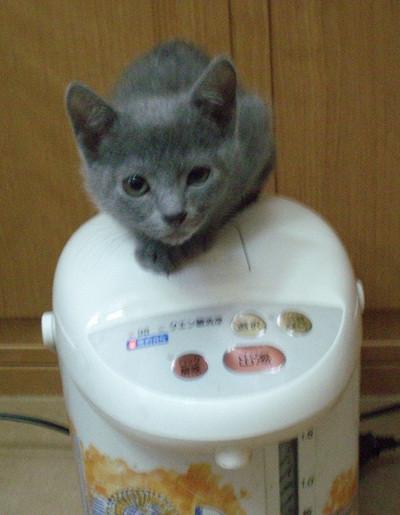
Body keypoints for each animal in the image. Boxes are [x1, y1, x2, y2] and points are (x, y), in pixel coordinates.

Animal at [66, 40, 274, 274]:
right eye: (135, 185)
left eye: (199, 175)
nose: (174, 216)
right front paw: (155, 248)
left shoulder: (254, 128)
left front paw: (198, 238)